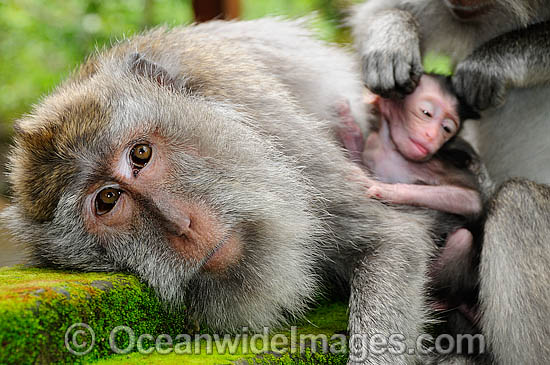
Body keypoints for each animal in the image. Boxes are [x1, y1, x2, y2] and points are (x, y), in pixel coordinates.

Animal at [354, 1, 550, 362]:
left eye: (448, 126)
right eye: (426, 113)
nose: (431, 137)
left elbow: (468, 197)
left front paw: (494, 61)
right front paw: (392, 36)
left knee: (517, 202)